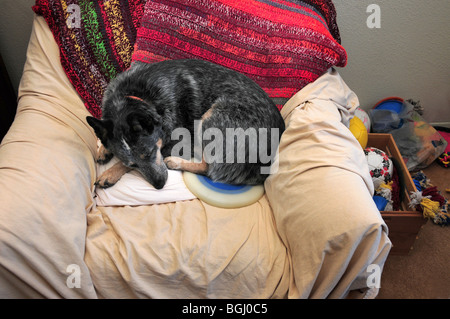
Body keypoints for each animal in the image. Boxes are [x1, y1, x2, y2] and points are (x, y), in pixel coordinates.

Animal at [87, 59, 284, 190]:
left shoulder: (179, 142)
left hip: (210, 118)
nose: (160, 185)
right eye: (133, 164)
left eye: (150, 153)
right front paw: (103, 150)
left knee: (209, 168)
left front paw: (109, 173)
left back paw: (175, 162)